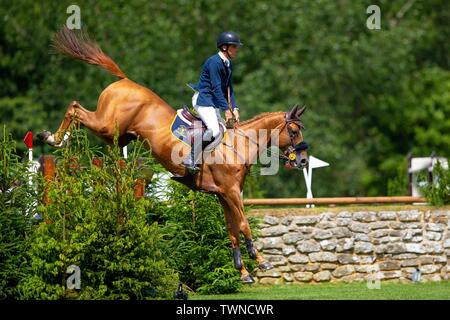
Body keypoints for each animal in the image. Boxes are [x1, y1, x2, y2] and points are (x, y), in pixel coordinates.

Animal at [39, 27, 310, 282]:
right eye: (294, 131)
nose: (304, 160)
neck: (238, 145)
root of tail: (124, 80)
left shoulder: (223, 194)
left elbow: (232, 230)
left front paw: (243, 272)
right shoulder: (231, 192)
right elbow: (243, 225)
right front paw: (261, 261)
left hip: (118, 135)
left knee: (81, 115)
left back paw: (60, 139)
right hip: (106, 125)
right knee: (75, 107)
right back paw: (53, 138)